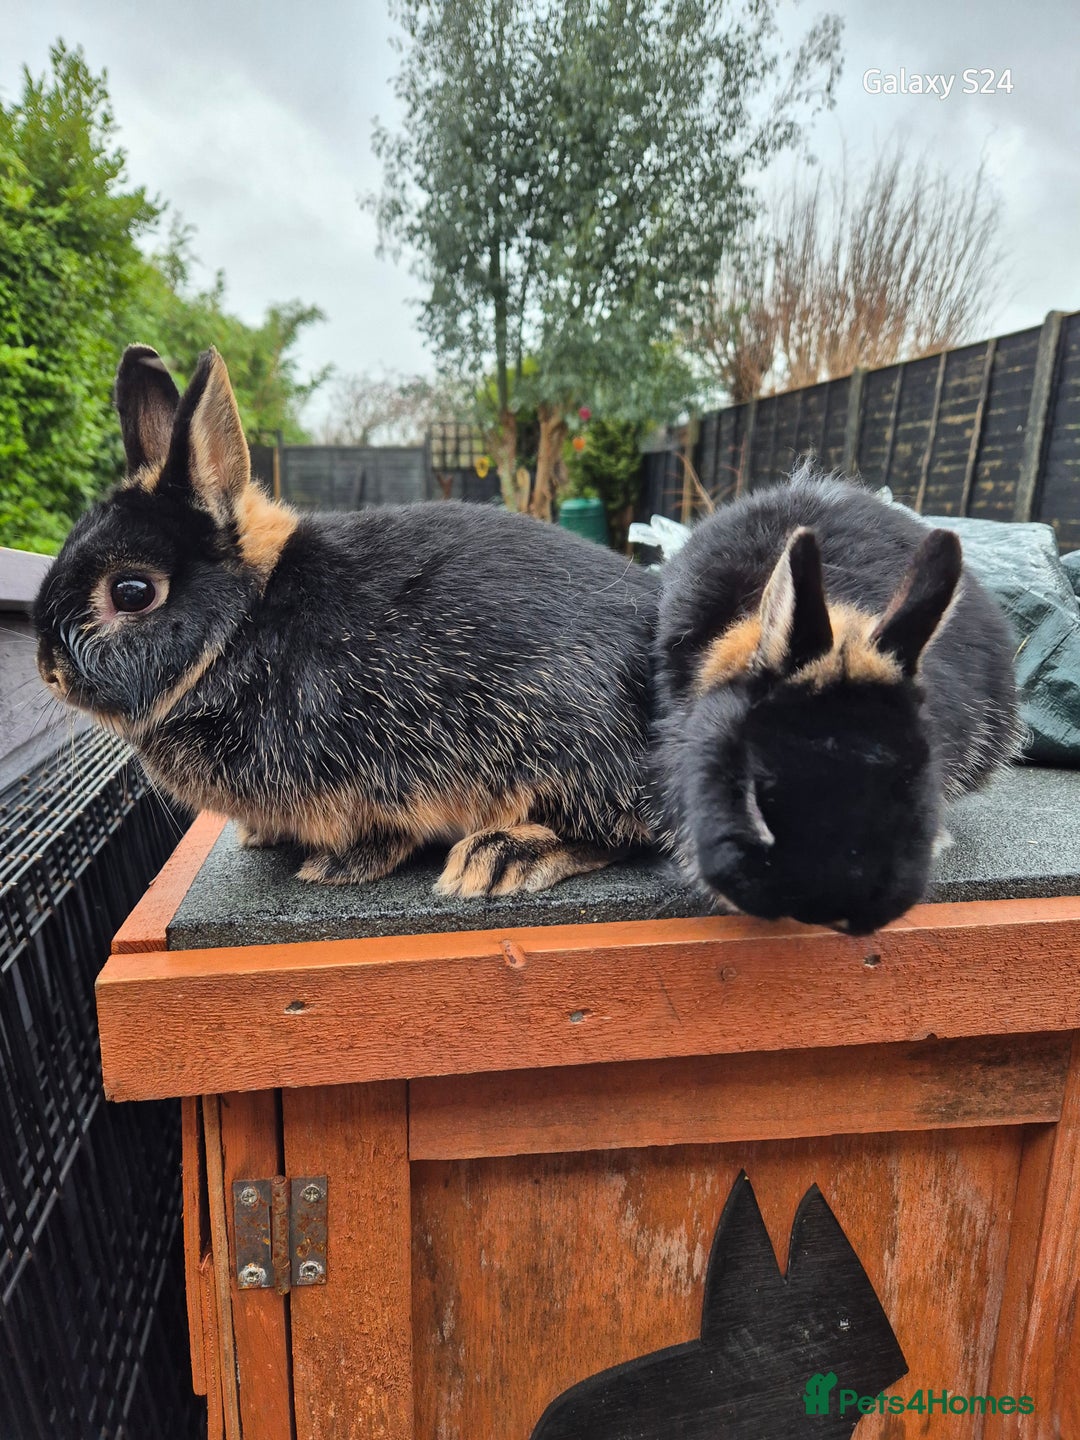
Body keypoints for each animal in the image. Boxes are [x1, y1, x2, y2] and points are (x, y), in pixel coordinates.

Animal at [34, 345, 659, 895]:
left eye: (132, 592)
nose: (49, 671)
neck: (243, 628)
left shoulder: (375, 775)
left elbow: (383, 832)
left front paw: (335, 867)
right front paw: (262, 836)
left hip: (569, 744)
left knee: (622, 833)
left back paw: (498, 857)